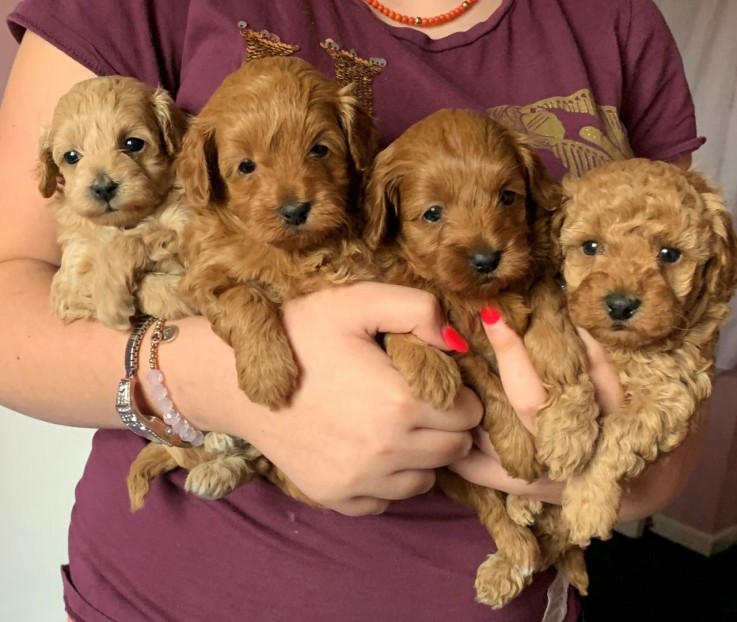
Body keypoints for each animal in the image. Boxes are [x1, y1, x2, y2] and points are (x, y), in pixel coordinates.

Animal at [127, 54, 376, 512]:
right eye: (246, 167)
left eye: (320, 149)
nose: (295, 210)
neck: (284, 251)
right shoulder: (203, 279)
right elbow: (245, 296)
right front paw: (267, 372)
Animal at [362, 107, 600, 608]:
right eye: (433, 213)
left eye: (507, 196)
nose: (488, 258)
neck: (481, 295)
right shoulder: (456, 342)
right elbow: (489, 385)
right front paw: (519, 445)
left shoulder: (538, 264)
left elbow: (547, 299)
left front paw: (557, 353)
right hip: (448, 476)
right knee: (492, 506)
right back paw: (517, 540)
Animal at [556, 160, 736, 544]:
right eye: (591, 246)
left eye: (669, 254)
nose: (620, 306)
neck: (624, 350)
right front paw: (564, 436)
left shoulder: (671, 394)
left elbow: (619, 432)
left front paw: (588, 504)